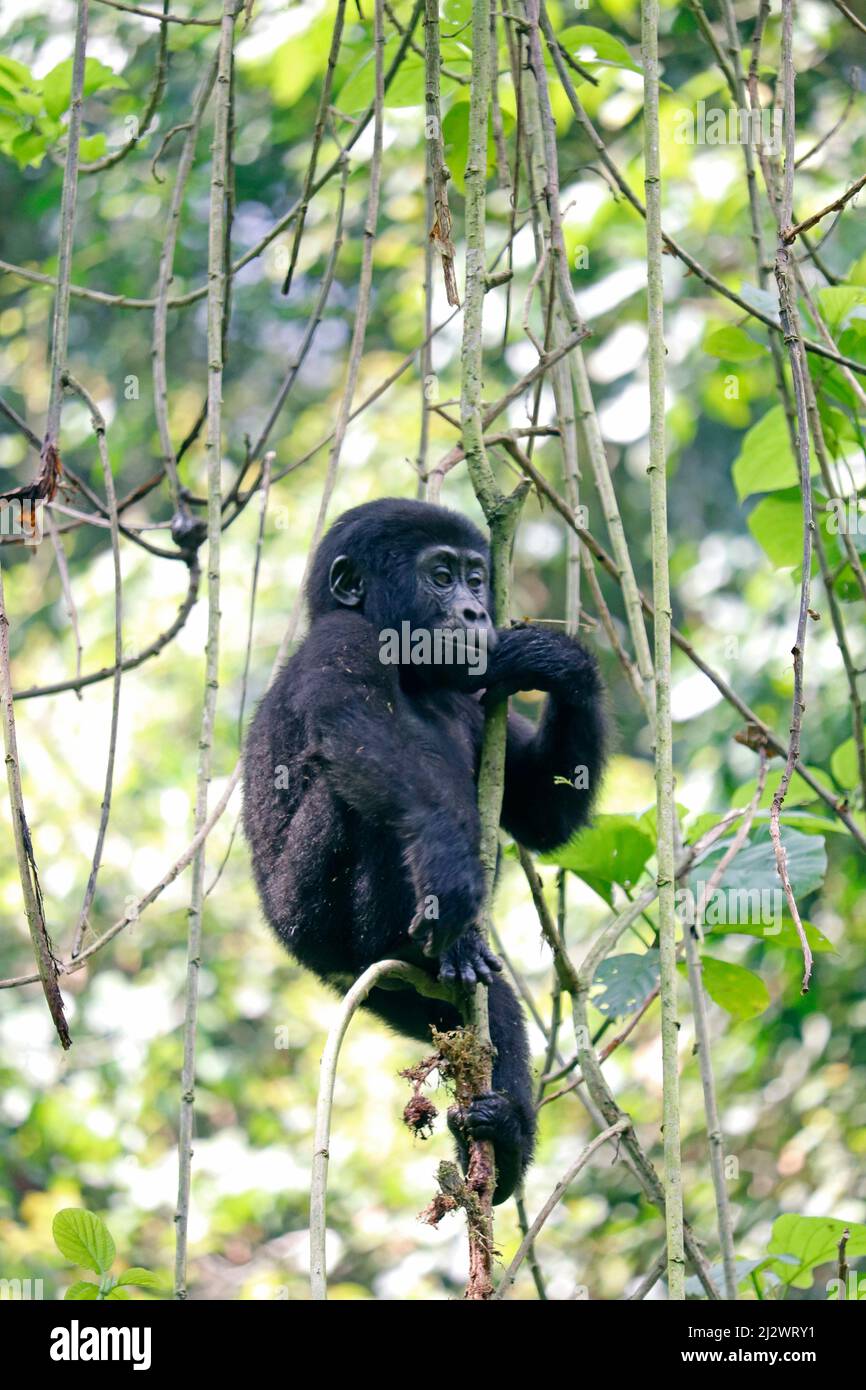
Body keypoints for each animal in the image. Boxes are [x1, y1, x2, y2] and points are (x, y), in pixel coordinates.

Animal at [244, 503, 606, 1206]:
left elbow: (541, 811)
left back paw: (502, 1142)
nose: (473, 610)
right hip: (316, 927)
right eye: (440, 576)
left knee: (494, 1015)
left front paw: (558, 663)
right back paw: (441, 937)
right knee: (356, 794)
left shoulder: (479, 697)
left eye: (474, 576)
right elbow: (364, 741)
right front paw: (450, 869)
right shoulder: (341, 642)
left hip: (396, 995)